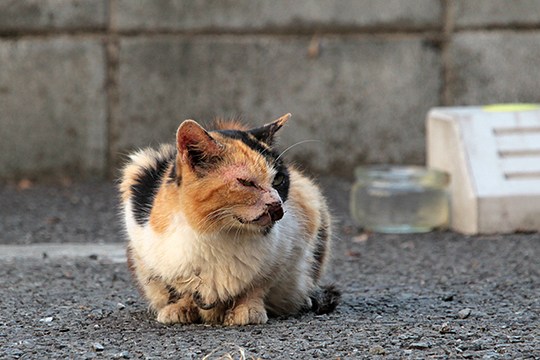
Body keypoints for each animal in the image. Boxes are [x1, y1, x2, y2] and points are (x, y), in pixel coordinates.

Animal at [119, 114, 338, 324]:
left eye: (278, 179)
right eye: (245, 182)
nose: (277, 205)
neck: (215, 233)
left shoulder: (288, 247)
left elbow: (258, 284)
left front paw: (247, 310)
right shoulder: (142, 243)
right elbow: (176, 286)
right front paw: (179, 308)